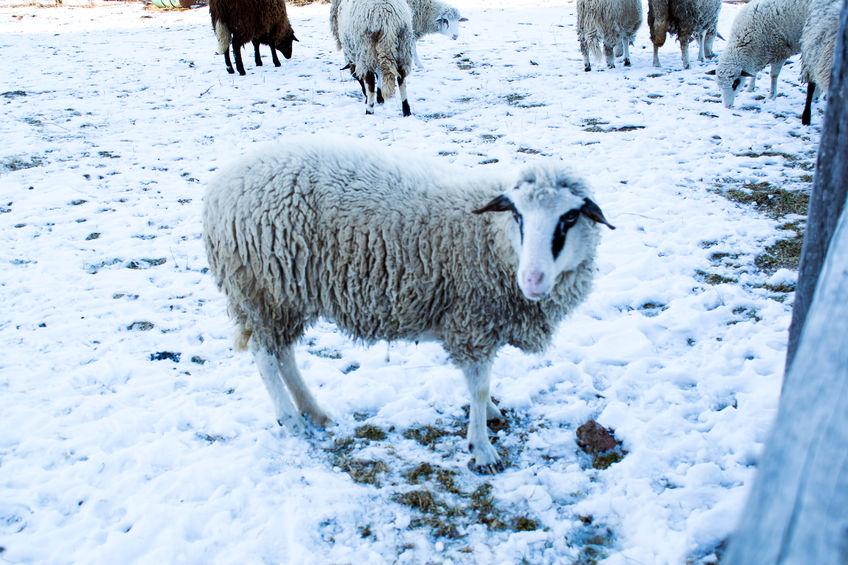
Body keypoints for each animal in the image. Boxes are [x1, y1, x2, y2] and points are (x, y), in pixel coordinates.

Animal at [205, 135, 616, 472]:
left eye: (570, 216)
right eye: (517, 214)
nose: (532, 280)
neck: (490, 239)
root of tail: (221, 188)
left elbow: (479, 385)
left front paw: (488, 416)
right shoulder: (472, 319)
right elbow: (479, 386)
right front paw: (482, 448)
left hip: (286, 294)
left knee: (284, 353)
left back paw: (314, 411)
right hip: (264, 289)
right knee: (264, 354)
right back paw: (290, 419)